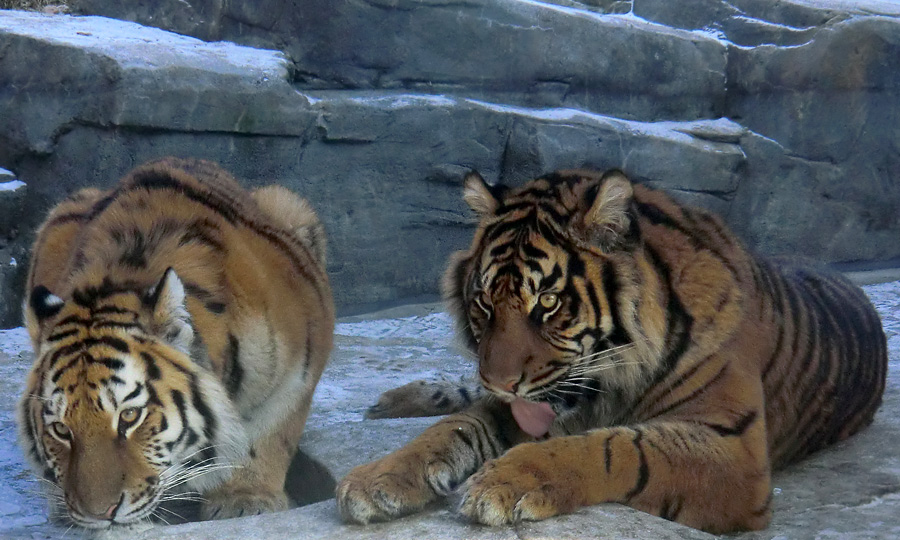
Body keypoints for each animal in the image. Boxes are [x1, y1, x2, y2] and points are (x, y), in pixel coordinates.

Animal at [15, 158, 334, 528]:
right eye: (60, 429)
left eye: (130, 416)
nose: (99, 514)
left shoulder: (302, 360)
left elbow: (269, 431)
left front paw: (244, 498)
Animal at [336, 169, 884, 532]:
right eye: (484, 302)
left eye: (548, 302)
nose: (500, 382)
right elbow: (457, 426)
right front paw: (378, 477)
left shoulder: (736, 449)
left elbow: (616, 446)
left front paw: (508, 479)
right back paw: (396, 400)